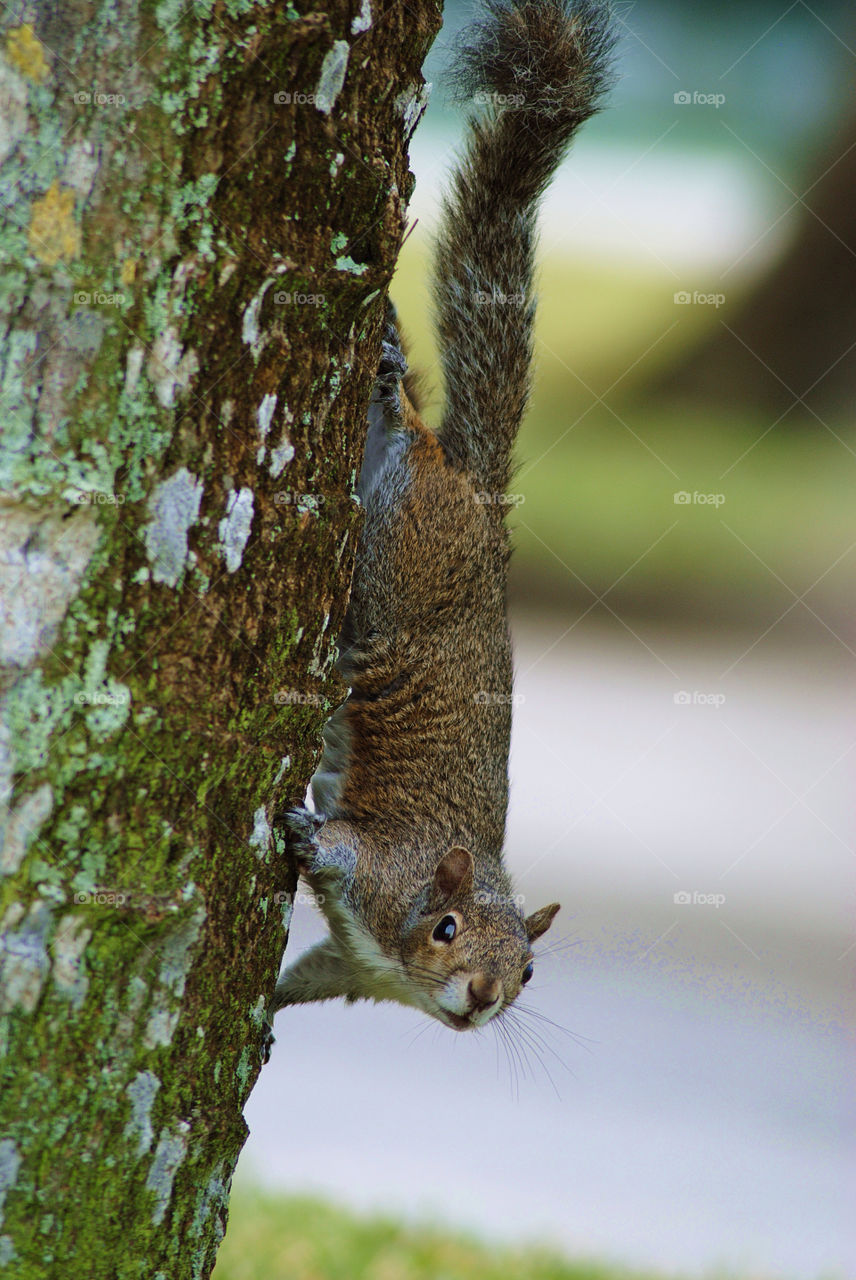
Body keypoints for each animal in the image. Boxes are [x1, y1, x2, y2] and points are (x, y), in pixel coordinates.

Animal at [272, 0, 615, 1032]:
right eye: (446, 929)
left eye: (532, 973)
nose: (479, 1002)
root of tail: (483, 504)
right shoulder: (383, 872)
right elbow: (342, 849)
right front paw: (303, 827)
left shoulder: (357, 970)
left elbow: (312, 976)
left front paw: (271, 1007)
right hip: (401, 551)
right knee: (404, 450)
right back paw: (390, 388)